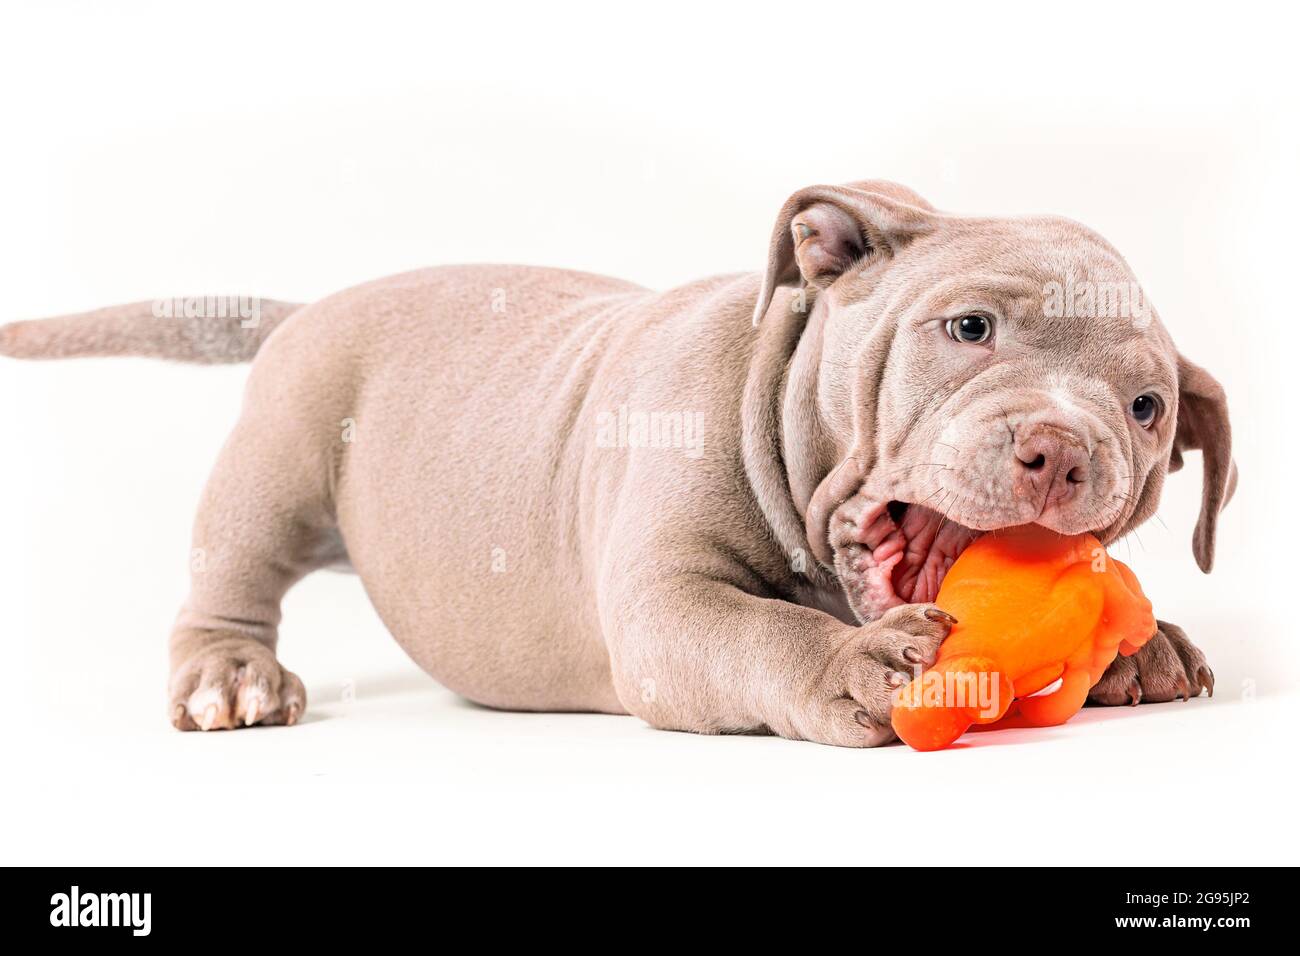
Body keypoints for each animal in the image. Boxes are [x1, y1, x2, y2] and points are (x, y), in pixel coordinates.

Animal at [0, 180, 1232, 749]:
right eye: (968, 328)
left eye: (1146, 409)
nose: (1061, 454)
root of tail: (309, 307)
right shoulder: (663, 607)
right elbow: (757, 630)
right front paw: (853, 665)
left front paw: (1145, 645)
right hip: (280, 459)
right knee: (232, 575)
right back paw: (231, 674)